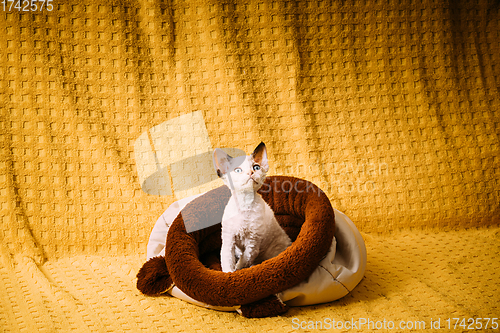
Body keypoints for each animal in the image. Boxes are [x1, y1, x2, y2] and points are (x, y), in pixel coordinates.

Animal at [212, 141, 292, 272]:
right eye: (238, 170)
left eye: (256, 167)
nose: (251, 172)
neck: (244, 204)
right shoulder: (228, 239)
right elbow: (227, 260)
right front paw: (229, 273)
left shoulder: (253, 241)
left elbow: (245, 259)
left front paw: (238, 269)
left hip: (272, 249)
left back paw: (254, 265)